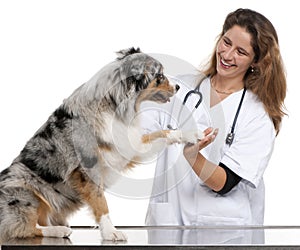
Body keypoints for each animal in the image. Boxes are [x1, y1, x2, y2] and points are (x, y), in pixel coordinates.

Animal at [0, 47, 204, 242]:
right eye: (159, 76)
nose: (178, 86)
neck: (113, 104)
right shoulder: (88, 167)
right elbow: (101, 202)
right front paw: (111, 232)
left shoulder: (129, 145)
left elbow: (163, 133)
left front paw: (191, 134)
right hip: (25, 192)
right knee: (24, 228)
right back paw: (58, 230)